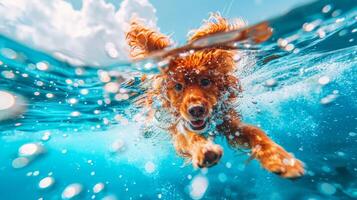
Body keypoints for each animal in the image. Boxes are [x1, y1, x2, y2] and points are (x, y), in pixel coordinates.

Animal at [125, 13, 304, 177]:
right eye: (178, 86)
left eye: (205, 81)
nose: (196, 110)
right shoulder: (176, 126)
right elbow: (189, 136)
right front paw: (204, 149)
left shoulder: (229, 122)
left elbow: (255, 132)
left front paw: (279, 158)